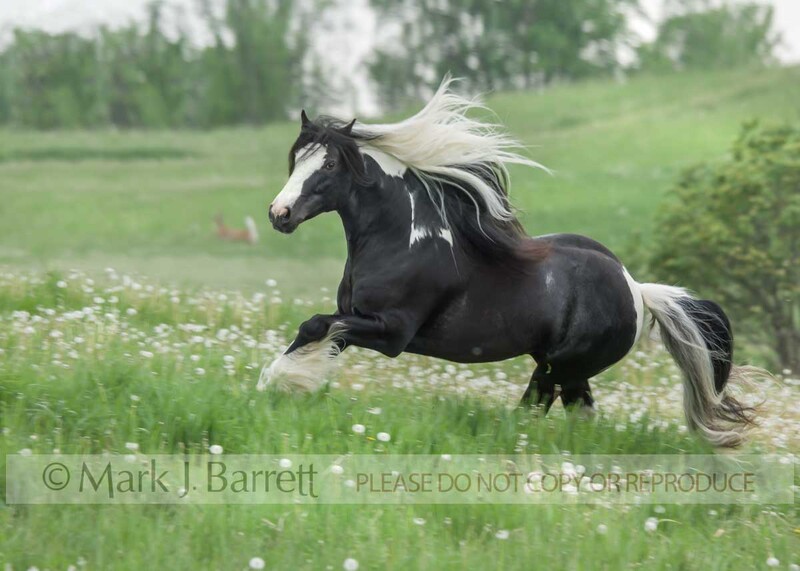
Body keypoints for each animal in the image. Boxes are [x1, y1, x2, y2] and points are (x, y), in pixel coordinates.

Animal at [257, 78, 757, 447]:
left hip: (559, 368)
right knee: (576, 412)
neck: (403, 240)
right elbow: (320, 330)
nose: (279, 214)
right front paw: (283, 383)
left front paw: (280, 381)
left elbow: (317, 325)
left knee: (536, 406)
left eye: (328, 167)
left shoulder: (392, 331)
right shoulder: (356, 318)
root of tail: (638, 290)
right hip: (567, 371)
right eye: (296, 161)